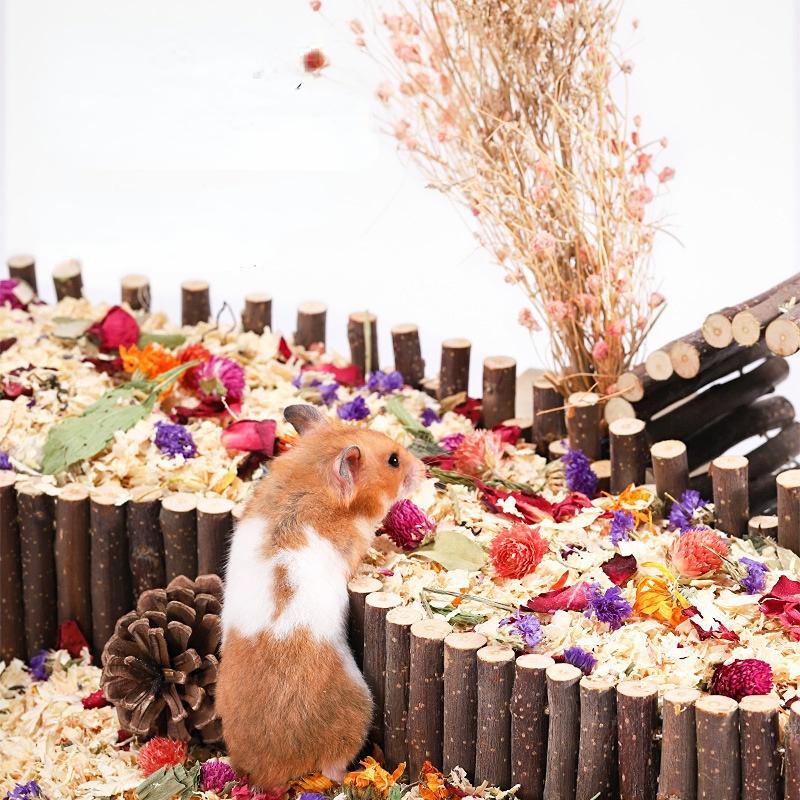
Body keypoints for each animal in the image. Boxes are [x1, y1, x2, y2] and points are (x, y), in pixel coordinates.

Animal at [217, 403, 425, 791]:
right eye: (393, 461)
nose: (425, 469)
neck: (311, 475)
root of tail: (268, 775)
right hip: (358, 710)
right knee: (332, 768)